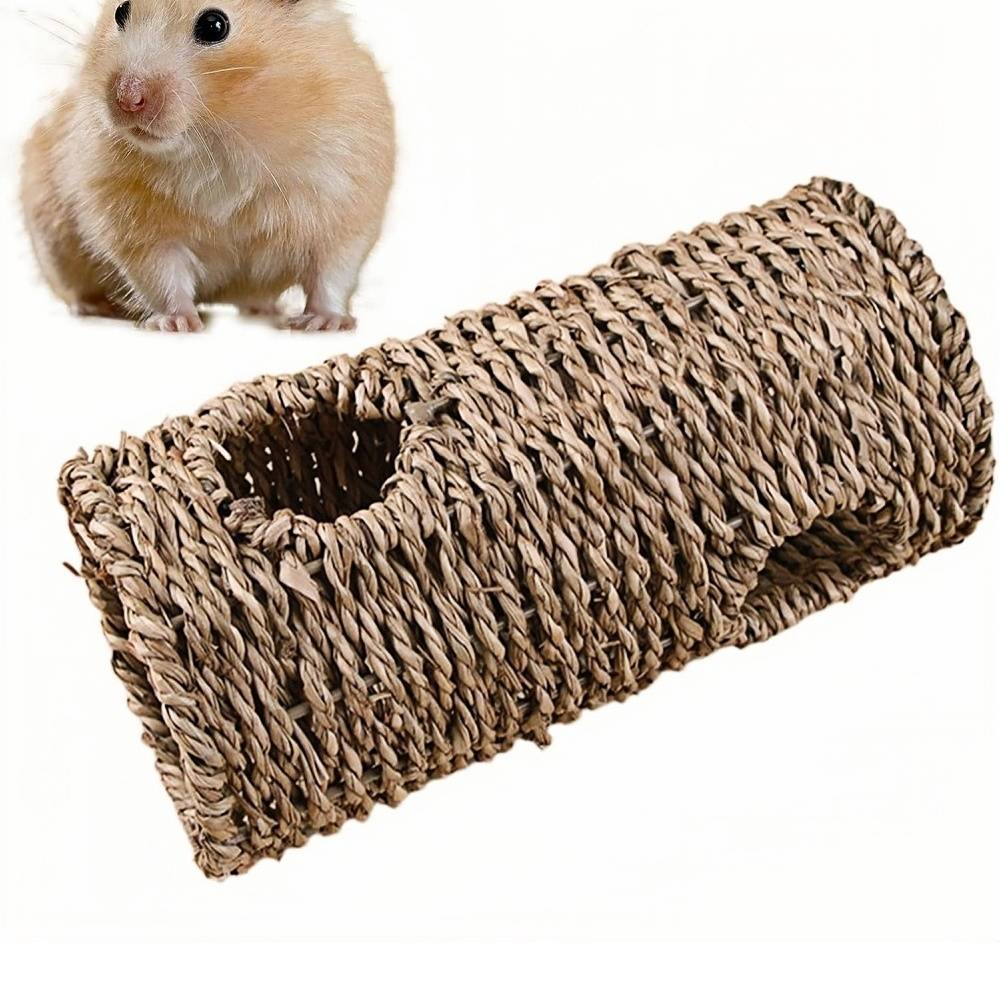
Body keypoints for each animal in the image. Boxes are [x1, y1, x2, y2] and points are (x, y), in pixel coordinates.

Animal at [20, 0, 395, 332]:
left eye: (214, 25)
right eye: (121, 10)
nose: (127, 99)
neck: (214, 136)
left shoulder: (344, 202)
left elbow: (332, 272)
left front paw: (324, 323)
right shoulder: (132, 222)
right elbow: (161, 273)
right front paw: (178, 324)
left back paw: (265, 310)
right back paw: (99, 307)